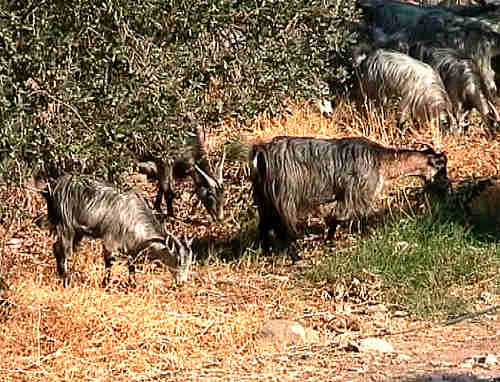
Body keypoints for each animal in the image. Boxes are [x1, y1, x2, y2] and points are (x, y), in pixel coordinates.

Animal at [36, 173, 193, 286]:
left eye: (189, 262)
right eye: (178, 261)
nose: (181, 283)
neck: (133, 215)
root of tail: (51, 188)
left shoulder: (133, 246)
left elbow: (131, 266)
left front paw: (132, 285)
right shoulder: (110, 239)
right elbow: (109, 262)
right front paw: (105, 284)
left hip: (77, 232)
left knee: (57, 248)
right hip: (66, 225)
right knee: (64, 251)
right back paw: (67, 279)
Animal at [252, 136, 448, 262]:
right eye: (441, 168)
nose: (447, 186)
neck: (381, 161)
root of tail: (262, 154)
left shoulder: (344, 195)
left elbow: (334, 219)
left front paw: (329, 243)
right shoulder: (357, 193)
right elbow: (340, 217)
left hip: (264, 197)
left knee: (264, 225)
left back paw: (266, 252)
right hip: (285, 196)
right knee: (282, 227)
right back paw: (295, 256)